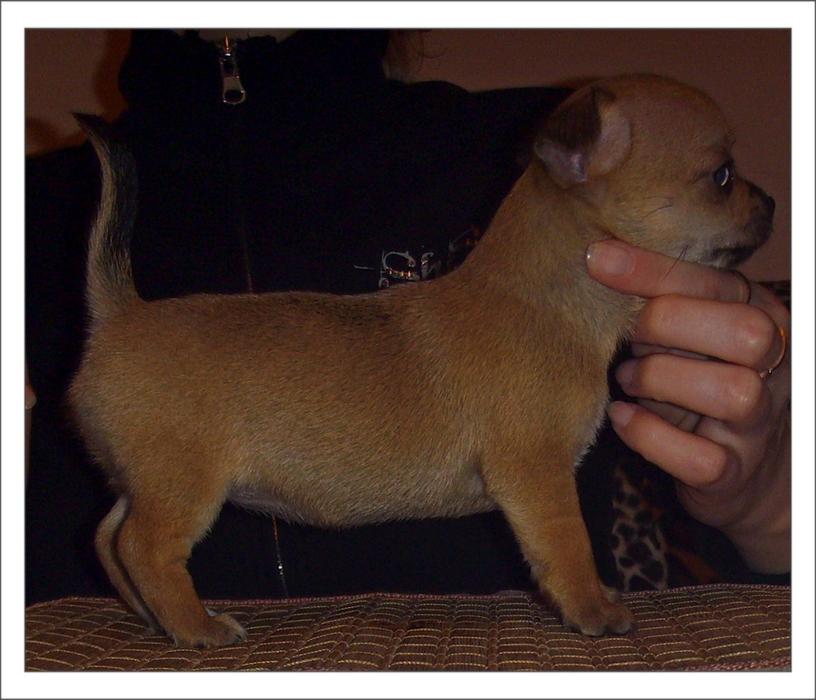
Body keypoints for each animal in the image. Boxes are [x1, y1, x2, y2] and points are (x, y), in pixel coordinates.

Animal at [69, 74, 774, 647]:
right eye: (721, 176)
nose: (769, 203)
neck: (550, 301)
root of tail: (121, 313)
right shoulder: (538, 474)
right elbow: (568, 543)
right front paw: (594, 609)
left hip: (145, 479)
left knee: (108, 537)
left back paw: (150, 617)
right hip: (183, 484)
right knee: (146, 549)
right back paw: (197, 626)